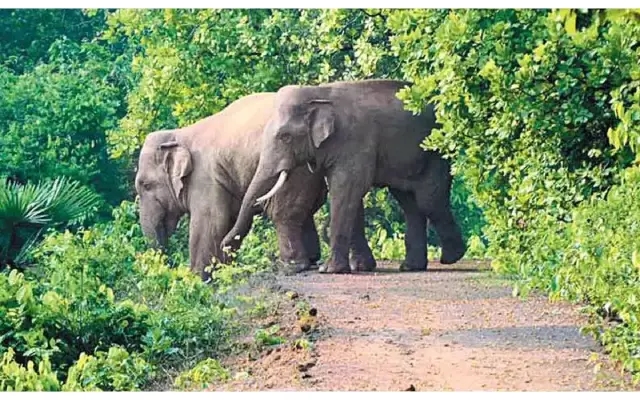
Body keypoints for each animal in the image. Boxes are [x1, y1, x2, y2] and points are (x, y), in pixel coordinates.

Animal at [134, 92, 363, 279]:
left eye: (145, 185)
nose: (166, 265)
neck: (180, 134)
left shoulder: (205, 177)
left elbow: (211, 220)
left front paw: (198, 279)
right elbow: (229, 219)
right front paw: (222, 270)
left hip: (293, 167)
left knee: (283, 213)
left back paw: (294, 267)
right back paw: (312, 260)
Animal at [222, 80, 466, 274]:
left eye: (285, 137)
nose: (223, 247)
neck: (318, 93)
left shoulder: (353, 141)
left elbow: (347, 190)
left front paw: (328, 270)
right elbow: (350, 197)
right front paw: (362, 268)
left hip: (435, 152)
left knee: (428, 200)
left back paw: (451, 258)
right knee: (409, 202)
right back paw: (411, 267)